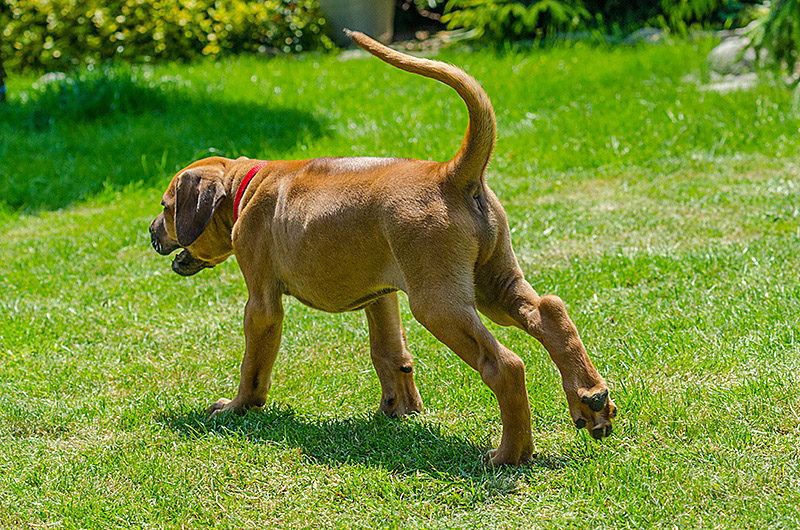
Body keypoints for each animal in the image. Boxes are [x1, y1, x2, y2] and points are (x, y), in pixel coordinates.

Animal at [149, 30, 616, 466]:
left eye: (166, 207)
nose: (151, 233)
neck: (245, 185)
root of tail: (452, 174)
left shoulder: (262, 303)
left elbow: (253, 366)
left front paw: (237, 408)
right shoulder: (381, 294)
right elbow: (390, 353)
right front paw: (400, 409)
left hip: (438, 303)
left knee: (505, 365)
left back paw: (510, 454)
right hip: (493, 283)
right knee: (549, 311)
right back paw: (591, 399)